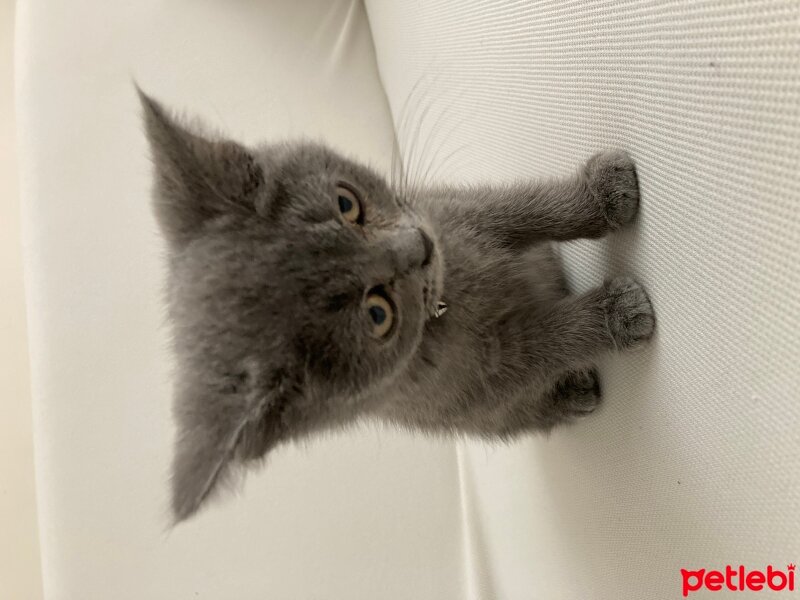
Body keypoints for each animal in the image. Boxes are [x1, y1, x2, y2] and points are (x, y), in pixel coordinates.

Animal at [139, 90, 656, 524]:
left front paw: (605, 192)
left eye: (347, 203)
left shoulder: (452, 211)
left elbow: (526, 208)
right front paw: (620, 313)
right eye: (377, 315)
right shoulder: (488, 371)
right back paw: (575, 390)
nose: (419, 246)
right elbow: (551, 338)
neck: (447, 297)